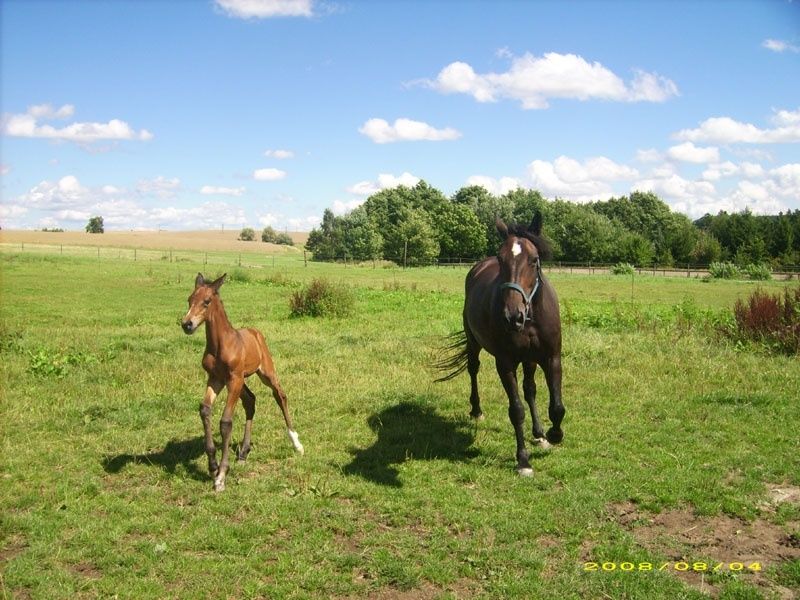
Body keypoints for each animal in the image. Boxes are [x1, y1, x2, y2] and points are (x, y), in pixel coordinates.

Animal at [181, 274, 304, 490]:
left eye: (207, 301)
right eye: (189, 299)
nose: (187, 324)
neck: (221, 345)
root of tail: (256, 332)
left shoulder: (233, 379)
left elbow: (226, 421)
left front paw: (221, 476)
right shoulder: (216, 379)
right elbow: (205, 409)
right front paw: (212, 466)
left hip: (265, 373)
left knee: (280, 395)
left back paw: (296, 443)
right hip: (241, 381)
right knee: (251, 401)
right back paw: (244, 452)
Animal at [438, 213, 564, 476]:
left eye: (534, 260)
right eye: (501, 258)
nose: (512, 316)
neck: (531, 318)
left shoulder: (552, 357)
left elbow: (556, 406)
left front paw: (553, 434)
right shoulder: (505, 363)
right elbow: (516, 410)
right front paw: (523, 461)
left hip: (529, 360)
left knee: (530, 389)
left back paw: (539, 434)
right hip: (474, 343)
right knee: (473, 370)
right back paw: (476, 411)